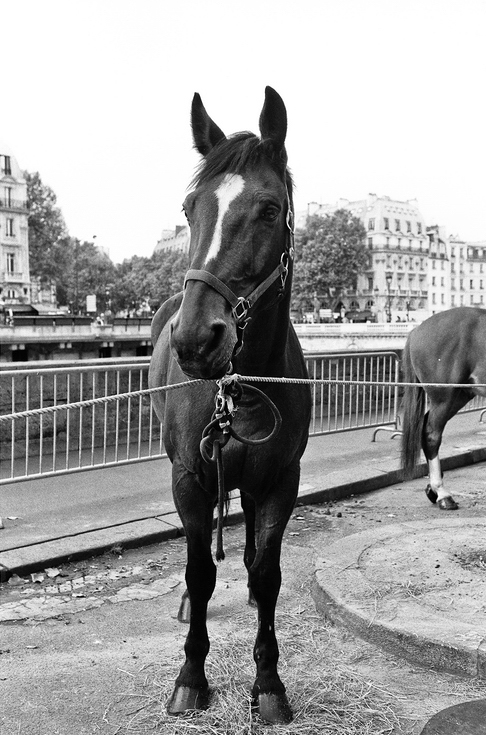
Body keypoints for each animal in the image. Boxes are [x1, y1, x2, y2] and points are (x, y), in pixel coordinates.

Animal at [148, 87, 311, 723]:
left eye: (269, 209)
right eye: (190, 208)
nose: (197, 340)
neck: (239, 389)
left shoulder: (280, 481)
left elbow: (266, 573)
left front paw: (268, 682)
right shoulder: (190, 477)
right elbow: (198, 570)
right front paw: (191, 675)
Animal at [401, 306, 486, 510]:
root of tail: (417, 330)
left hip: (459, 396)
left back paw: (433, 489)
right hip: (444, 398)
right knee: (431, 434)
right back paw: (441, 493)